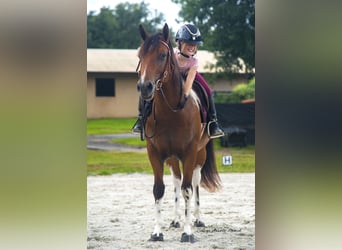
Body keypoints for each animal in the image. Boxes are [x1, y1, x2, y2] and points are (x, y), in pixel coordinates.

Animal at [136, 23, 222, 242]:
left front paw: (188, 231)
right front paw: (157, 232)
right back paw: (176, 220)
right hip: (173, 158)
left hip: (200, 154)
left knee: (196, 182)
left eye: (162, 55)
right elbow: (159, 190)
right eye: (140, 55)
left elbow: (188, 190)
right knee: (175, 180)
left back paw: (197, 219)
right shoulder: (155, 154)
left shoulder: (190, 153)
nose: (145, 87)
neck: (171, 112)